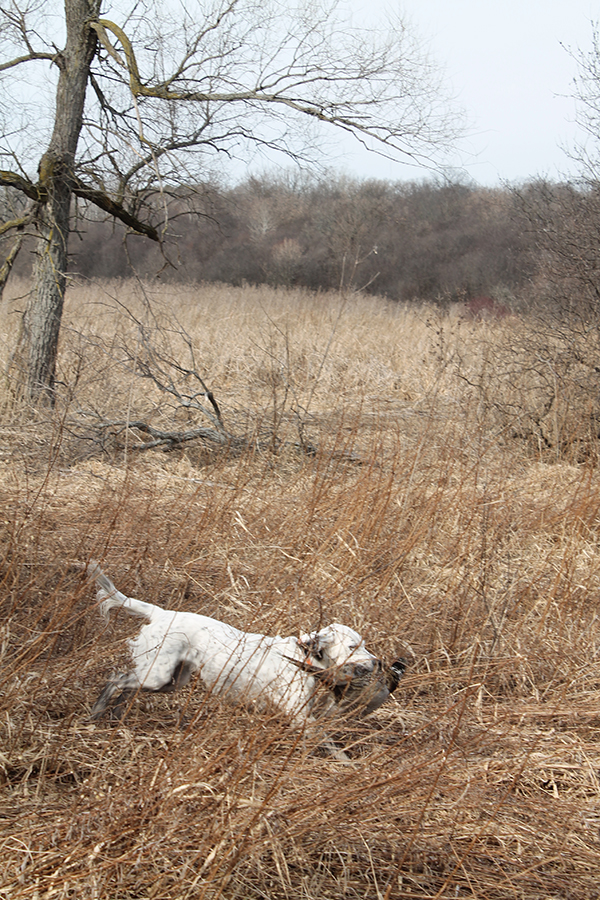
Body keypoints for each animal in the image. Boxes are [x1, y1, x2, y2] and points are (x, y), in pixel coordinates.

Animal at [85, 568, 394, 756]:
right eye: (354, 646)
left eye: (365, 644)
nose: (378, 662)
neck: (304, 659)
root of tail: (162, 613)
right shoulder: (300, 716)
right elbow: (329, 743)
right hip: (158, 676)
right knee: (115, 681)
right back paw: (97, 713)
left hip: (171, 680)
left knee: (126, 687)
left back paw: (113, 715)